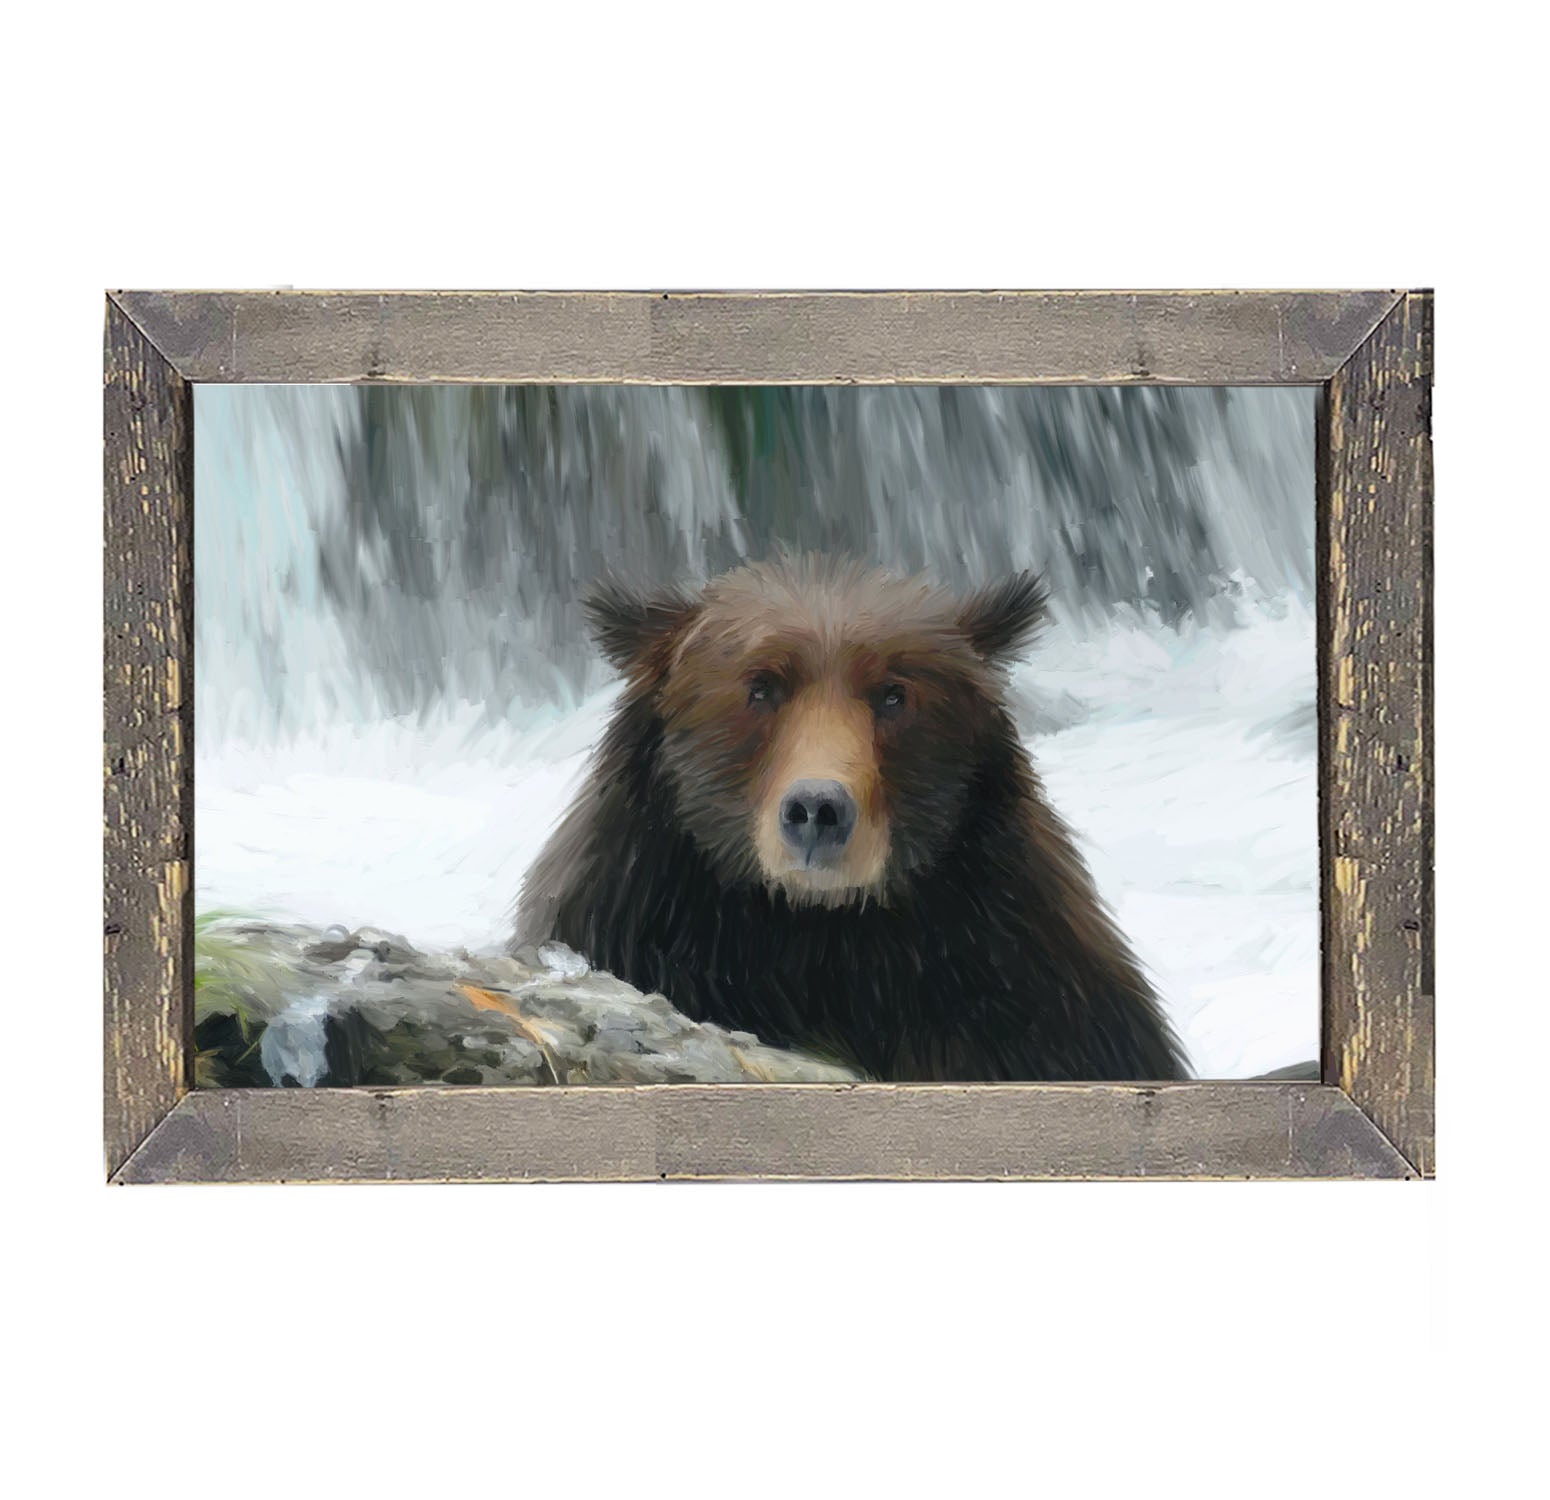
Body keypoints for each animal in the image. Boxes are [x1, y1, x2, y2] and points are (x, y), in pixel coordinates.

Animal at [516, 555, 1186, 1083]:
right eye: (761, 686)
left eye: (893, 693)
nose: (818, 810)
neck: (820, 936)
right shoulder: (634, 918)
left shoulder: (1024, 988)